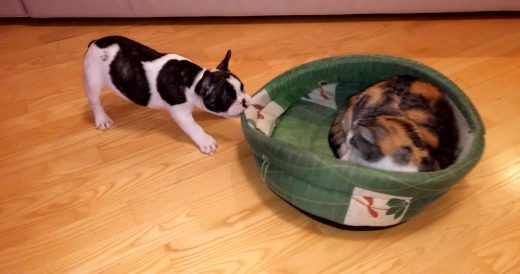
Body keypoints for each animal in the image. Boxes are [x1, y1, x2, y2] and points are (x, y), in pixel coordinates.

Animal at [82, 35, 251, 154]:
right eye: (228, 99)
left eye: (243, 88)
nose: (245, 101)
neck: (194, 80)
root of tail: (94, 43)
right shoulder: (180, 112)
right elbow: (194, 127)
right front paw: (205, 141)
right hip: (93, 78)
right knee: (95, 101)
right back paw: (102, 119)